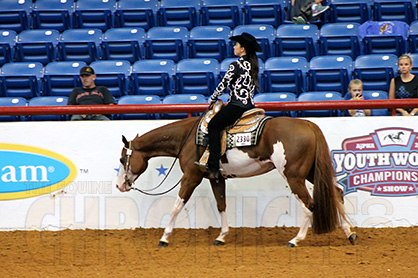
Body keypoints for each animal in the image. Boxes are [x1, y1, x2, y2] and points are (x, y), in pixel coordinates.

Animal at [116, 116, 358, 247]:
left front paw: (164, 238)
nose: (120, 185)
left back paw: (296, 239)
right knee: (337, 192)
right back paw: (350, 233)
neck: (189, 137)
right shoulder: (216, 177)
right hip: (311, 172)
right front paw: (221, 237)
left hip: (294, 176)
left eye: (121, 158)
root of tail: (309, 125)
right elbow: (221, 204)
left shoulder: (191, 177)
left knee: (309, 204)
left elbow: (177, 206)